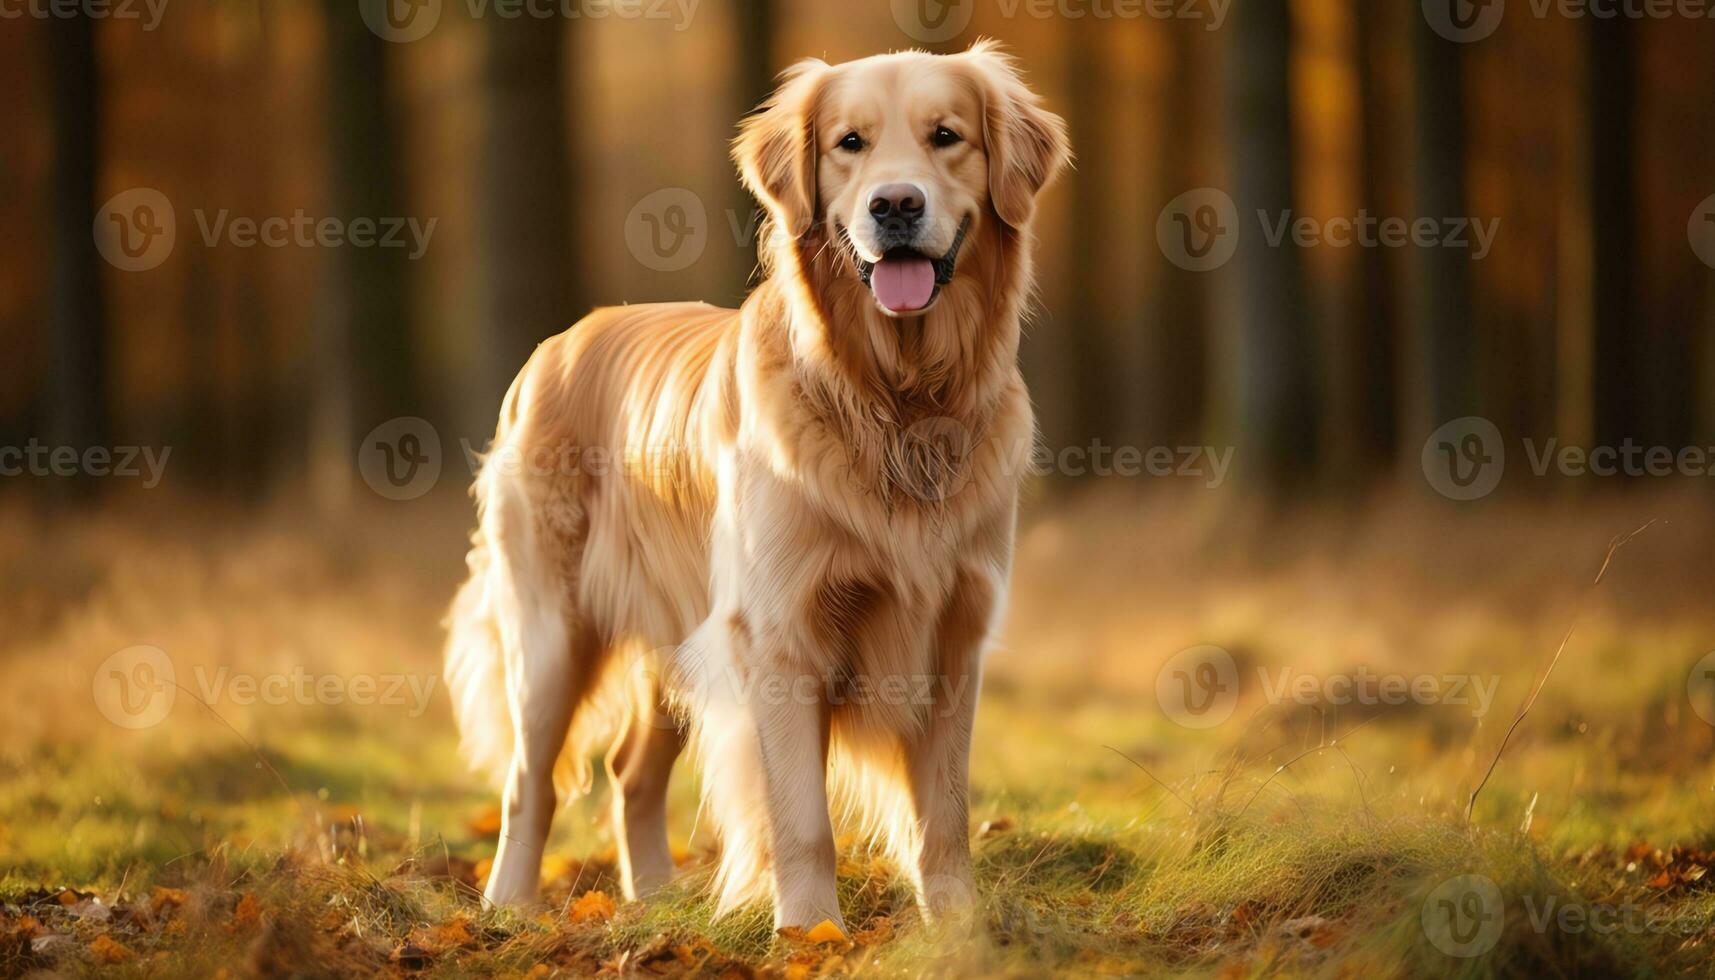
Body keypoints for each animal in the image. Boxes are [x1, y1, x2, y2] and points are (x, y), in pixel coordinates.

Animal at [449, 40, 1063, 933]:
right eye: (849, 143)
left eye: (945, 135)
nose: (895, 205)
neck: (896, 403)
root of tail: (554, 346)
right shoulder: (779, 635)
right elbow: (802, 819)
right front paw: (811, 932)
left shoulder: (955, 631)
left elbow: (942, 813)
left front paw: (957, 926)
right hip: (552, 634)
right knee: (528, 784)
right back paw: (508, 907)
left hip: (677, 633)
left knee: (632, 771)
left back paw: (655, 897)